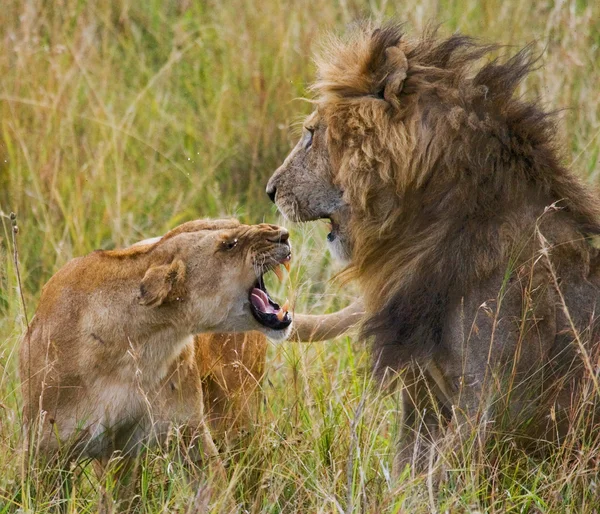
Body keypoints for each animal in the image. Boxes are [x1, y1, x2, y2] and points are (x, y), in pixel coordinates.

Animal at [268, 24, 600, 472]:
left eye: (310, 134)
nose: (270, 191)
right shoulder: (421, 392)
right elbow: (408, 468)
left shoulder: (490, 403)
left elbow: (444, 475)